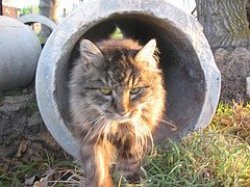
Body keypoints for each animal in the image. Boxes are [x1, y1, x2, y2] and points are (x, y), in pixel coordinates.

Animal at [68, 37, 166, 186]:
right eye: (105, 90)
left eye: (134, 90)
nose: (122, 111)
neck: (117, 126)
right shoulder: (91, 134)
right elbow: (97, 167)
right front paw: (101, 183)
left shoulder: (134, 133)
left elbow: (129, 159)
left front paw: (129, 178)